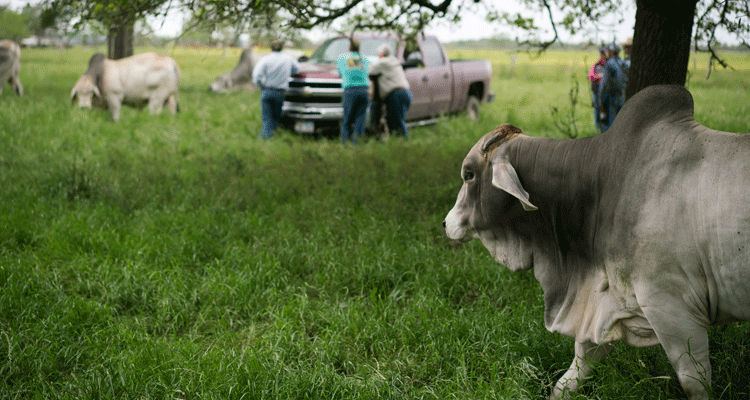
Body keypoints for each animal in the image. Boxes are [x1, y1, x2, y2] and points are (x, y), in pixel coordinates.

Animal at [444, 83, 750, 396]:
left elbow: (694, 383)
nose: (446, 223)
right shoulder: (603, 303)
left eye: (469, 174)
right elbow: (576, 369)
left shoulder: (672, 308)